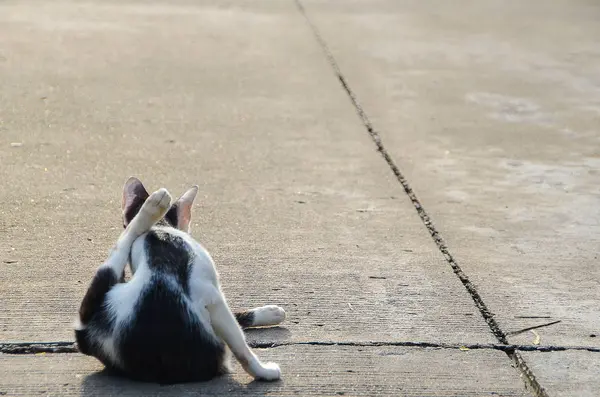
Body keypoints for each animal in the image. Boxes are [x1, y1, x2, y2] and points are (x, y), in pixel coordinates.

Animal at [74, 176, 286, 380]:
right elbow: (240, 343)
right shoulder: (212, 295)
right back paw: (153, 206)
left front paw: (271, 313)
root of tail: (85, 336)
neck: (159, 230)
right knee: (124, 238)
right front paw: (263, 371)